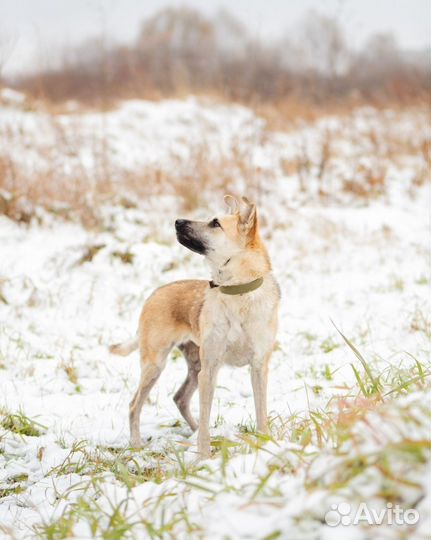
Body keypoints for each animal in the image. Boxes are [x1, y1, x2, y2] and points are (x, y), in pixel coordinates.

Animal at [109, 194, 282, 456]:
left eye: (215, 223)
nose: (177, 221)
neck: (237, 292)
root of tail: (154, 293)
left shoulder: (259, 367)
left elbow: (261, 413)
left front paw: (264, 445)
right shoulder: (210, 370)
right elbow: (205, 418)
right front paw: (203, 457)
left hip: (194, 366)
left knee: (180, 398)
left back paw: (191, 431)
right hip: (156, 365)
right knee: (134, 405)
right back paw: (138, 445)